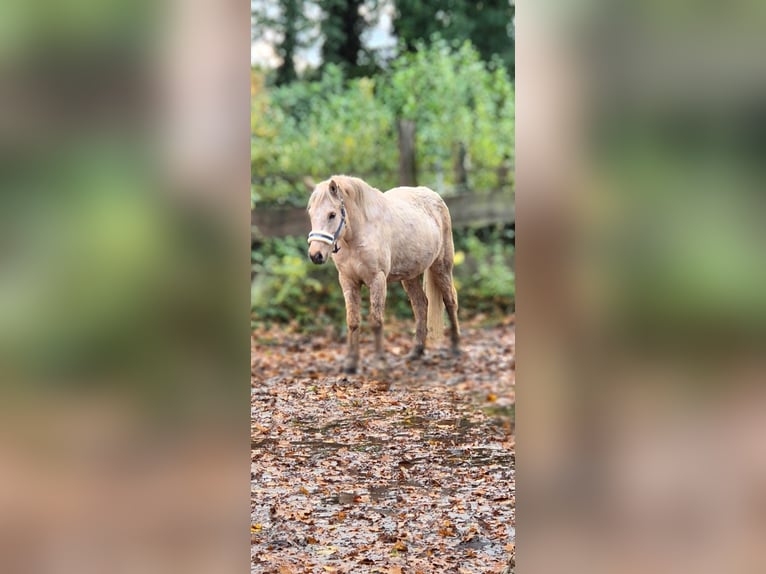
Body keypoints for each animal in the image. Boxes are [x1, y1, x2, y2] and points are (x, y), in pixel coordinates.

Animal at [307, 175, 460, 374]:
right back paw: (416, 351)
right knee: (421, 305)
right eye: (311, 213)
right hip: (409, 276)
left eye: (332, 214)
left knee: (450, 301)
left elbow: (376, 321)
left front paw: (380, 362)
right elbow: (353, 321)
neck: (359, 234)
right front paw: (351, 364)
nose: (315, 255)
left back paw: (456, 348)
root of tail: (434, 196)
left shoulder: (377, 280)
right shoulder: (348, 281)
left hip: (442, 267)